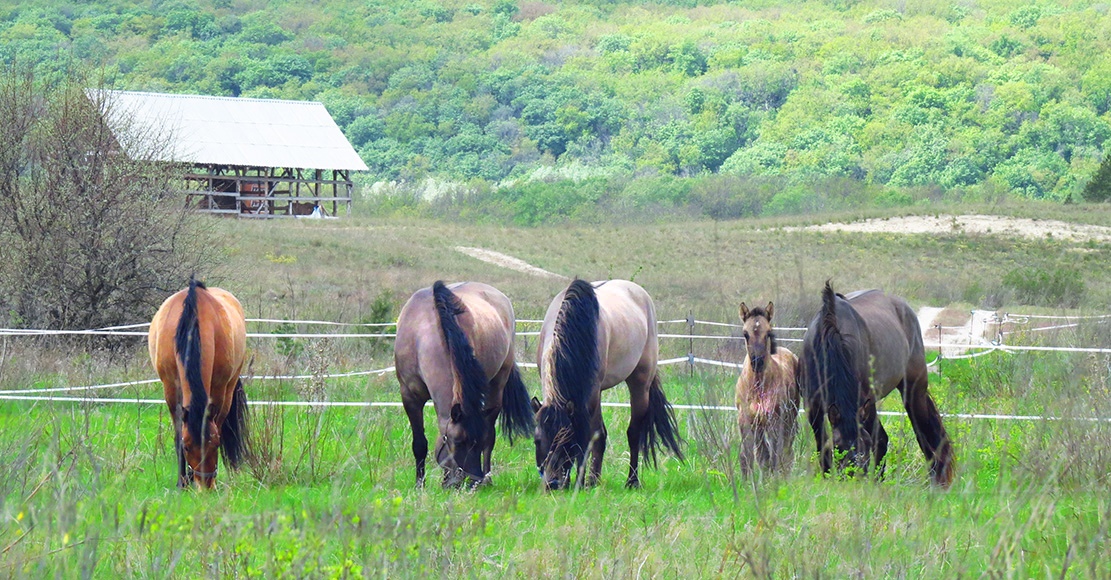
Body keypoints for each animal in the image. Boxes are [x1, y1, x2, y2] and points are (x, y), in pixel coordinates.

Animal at [148, 275, 248, 486]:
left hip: (230, 387)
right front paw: (182, 483)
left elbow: (218, 426)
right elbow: (178, 433)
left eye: (215, 445)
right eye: (187, 447)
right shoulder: (171, 390)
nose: (204, 486)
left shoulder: (218, 391)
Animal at [397, 280, 535, 486]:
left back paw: (488, 478)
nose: (473, 480)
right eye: (458, 442)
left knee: (491, 436)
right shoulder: (409, 397)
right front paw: (419, 485)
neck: (422, 329)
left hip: (497, 385)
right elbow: (419, 444)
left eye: (475, 443)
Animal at [531, 278, 679, 486]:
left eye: (567, 442)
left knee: (634, 433)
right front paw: (586, 481)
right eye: (537, 441)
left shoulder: (590, 397)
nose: (553, 483)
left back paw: (631, 481)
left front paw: (581, 482)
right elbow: (596, 436)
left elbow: (588, 438)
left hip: (639, 385)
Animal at [737, 300, 799, 471]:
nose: (757, 362)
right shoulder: (746, 421)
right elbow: (749, 457)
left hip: (789, 420)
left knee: (786, 453)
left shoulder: (775, 421)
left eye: (768, 333)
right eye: (745, 334)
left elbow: (775, 457)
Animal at [799, 282, 955, 484]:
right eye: (838, 445)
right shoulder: (813, 408)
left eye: (864, 444)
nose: (855, 476)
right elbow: (822, 444)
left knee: (919, 433)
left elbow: (877, 440)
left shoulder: (864, 403)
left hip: (912, 391)